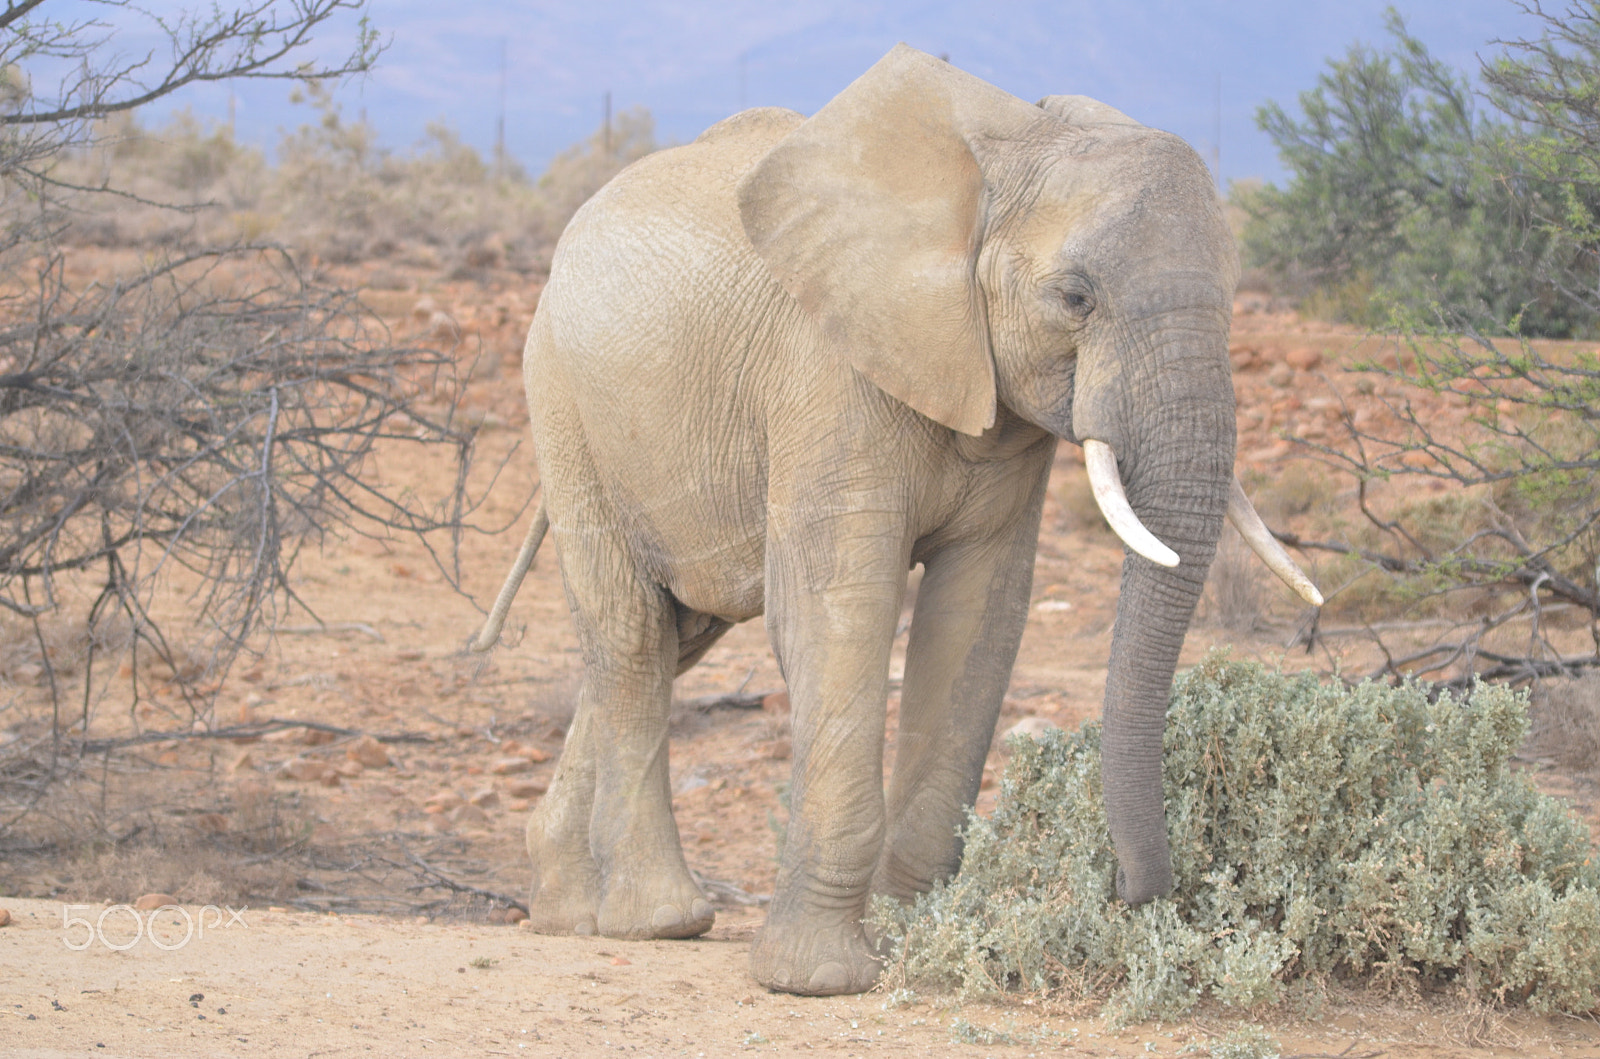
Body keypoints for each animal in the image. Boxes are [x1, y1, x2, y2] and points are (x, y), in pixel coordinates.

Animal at [467, 45, 1318, 998]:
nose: (1137, 893)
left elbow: (977, 617)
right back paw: (661, 921)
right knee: (632, 635)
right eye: (1075, 298)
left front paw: (914, 937)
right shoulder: (827, 371)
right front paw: (817, 978)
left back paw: (566, 909)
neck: (1007, 150)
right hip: (563, 405)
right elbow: (839, 610)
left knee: (669, 636)